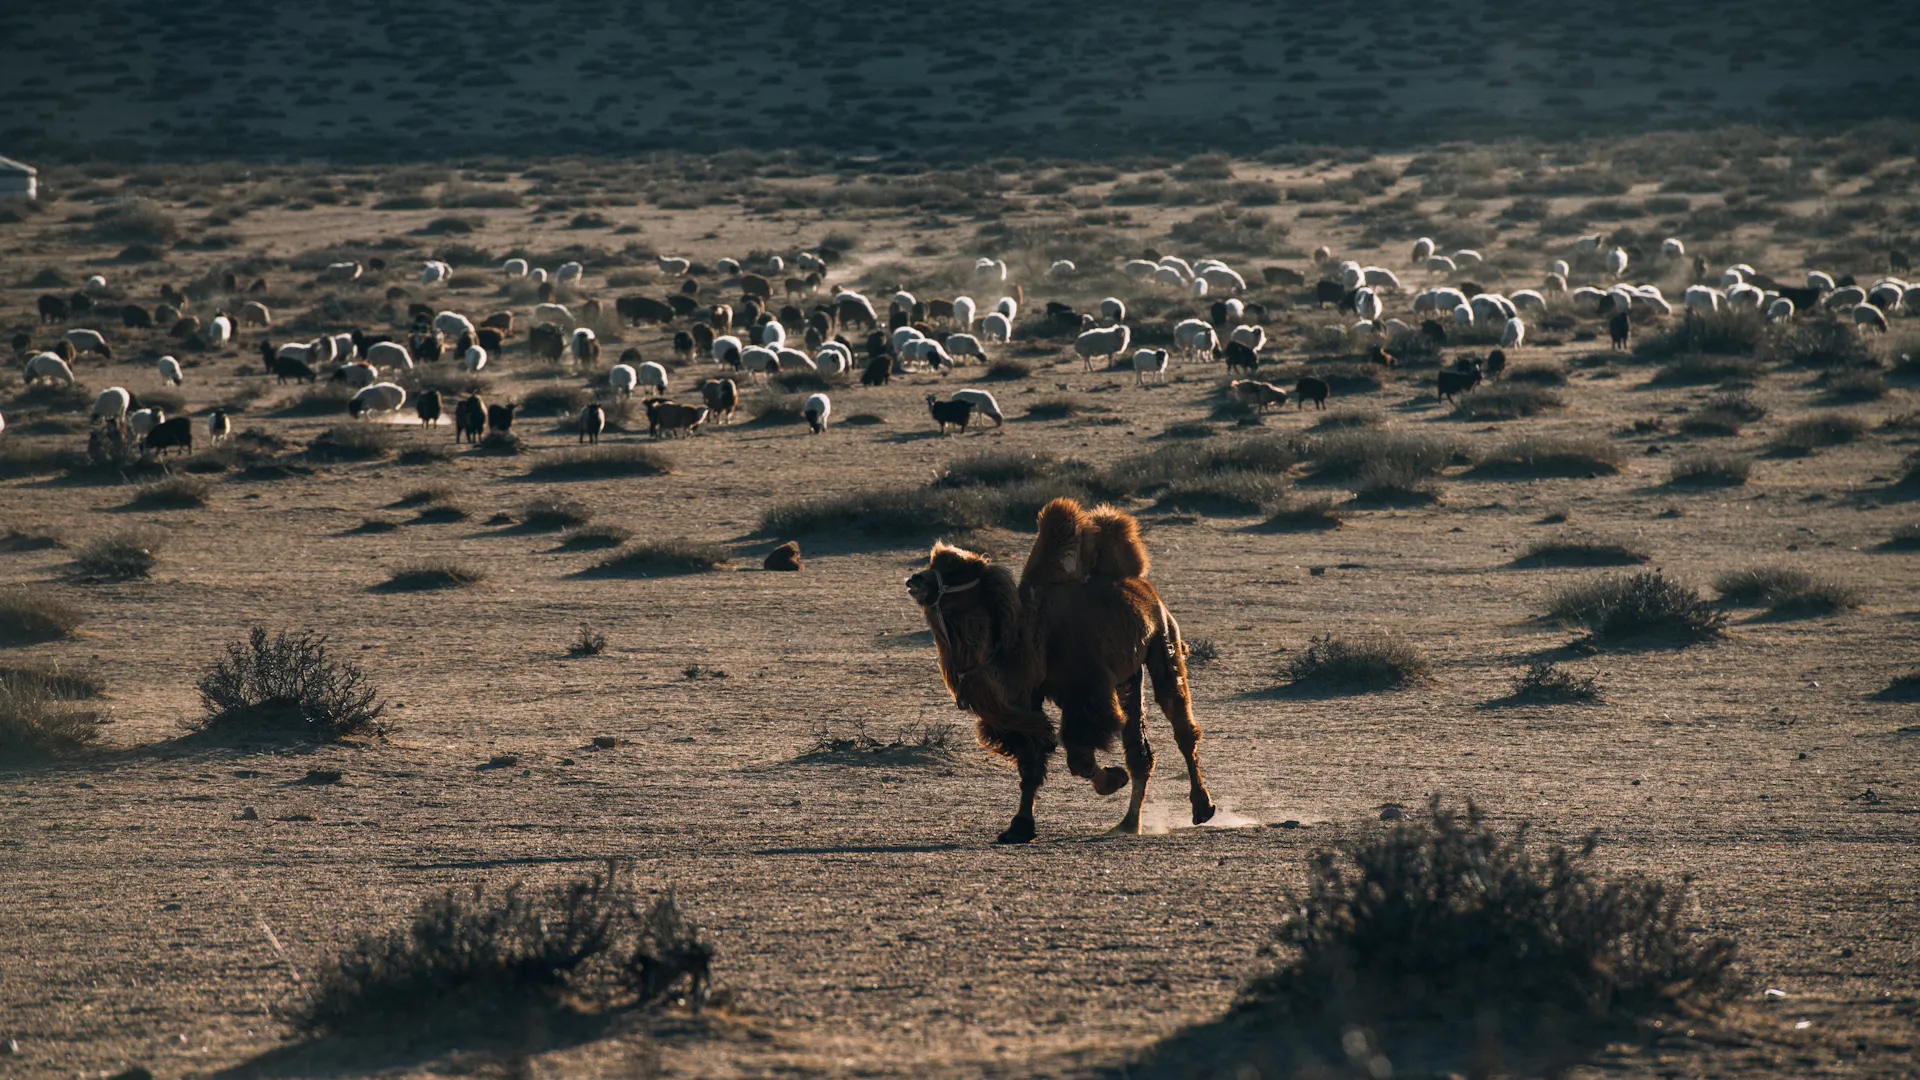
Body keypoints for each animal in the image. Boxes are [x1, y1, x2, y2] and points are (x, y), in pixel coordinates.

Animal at [906, 498, 1217, 843]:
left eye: (953, 569)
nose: (914, 579)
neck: (1026, 636)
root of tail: (1143, 586)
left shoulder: (1084, 690)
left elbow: (1079, 757)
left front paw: (1113, 779)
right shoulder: (1026, 698)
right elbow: (1030, 761)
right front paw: (1019, 826)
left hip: (1163, 640)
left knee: (1179, 722)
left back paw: (1202, 807)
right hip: (1129, 673)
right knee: (1139, 747)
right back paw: (1128, 822)